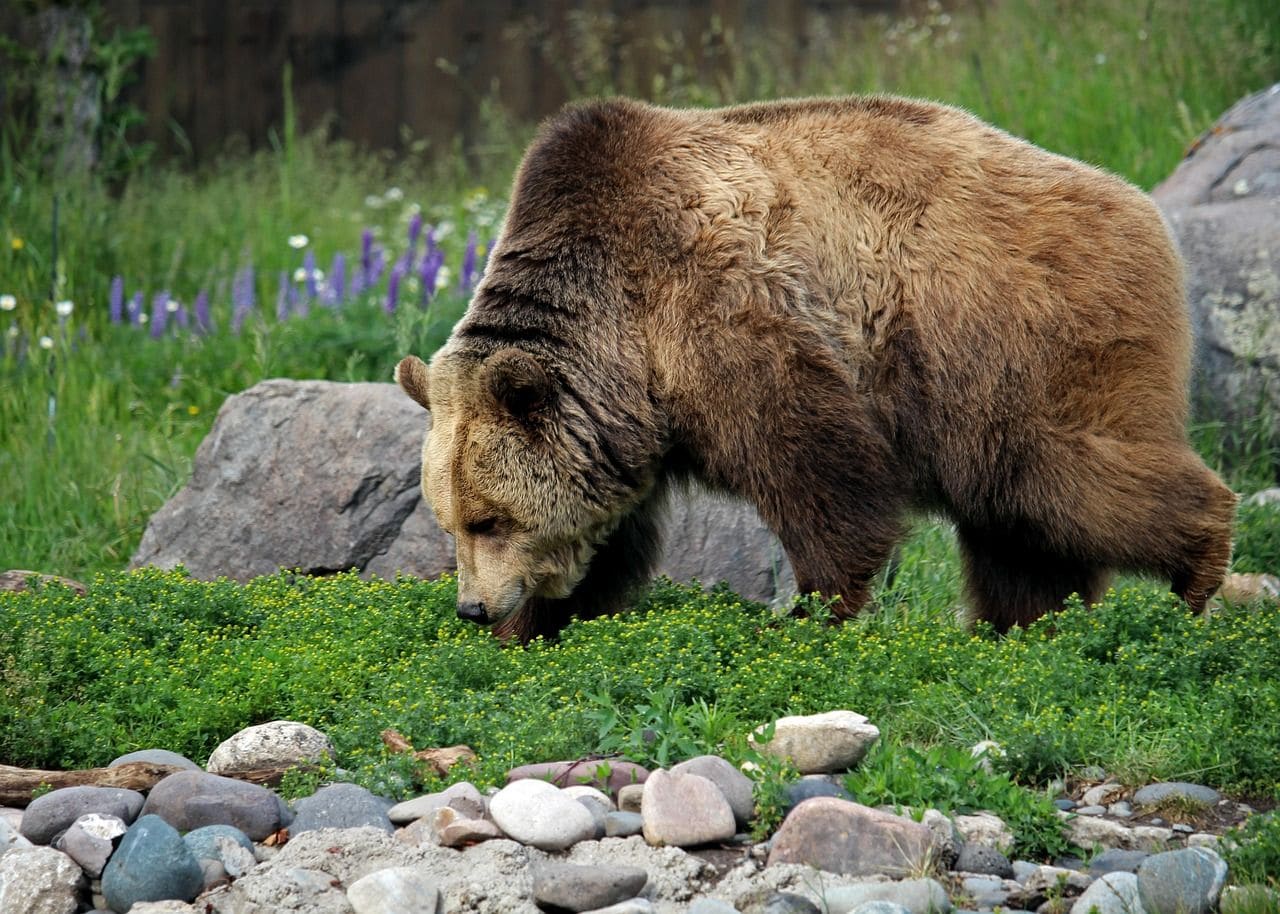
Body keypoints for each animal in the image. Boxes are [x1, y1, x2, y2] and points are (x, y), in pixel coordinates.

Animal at [395, 94, 1237, 642]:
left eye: (489, 518)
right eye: (451, 519)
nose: (472, 607)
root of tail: (1141, 207)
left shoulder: (721, 311)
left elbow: (816, 467)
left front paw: (811, 609)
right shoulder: (623, 419)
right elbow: (610, 534)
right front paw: (537, 624)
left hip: (1010, 339)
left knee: (1059, 474)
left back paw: (1198, 571)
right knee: (1014, 525)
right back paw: (1019, 626)